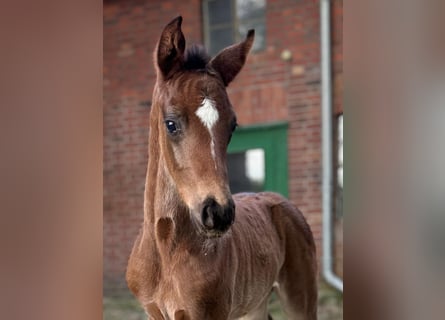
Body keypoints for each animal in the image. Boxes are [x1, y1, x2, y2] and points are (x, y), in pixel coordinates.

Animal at [126, 16, 318, 318]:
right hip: (255, 303)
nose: (218, 213)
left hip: (300, 295)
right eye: (171, 123)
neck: (166, 251)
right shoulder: (151, 310)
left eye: (233, 125)